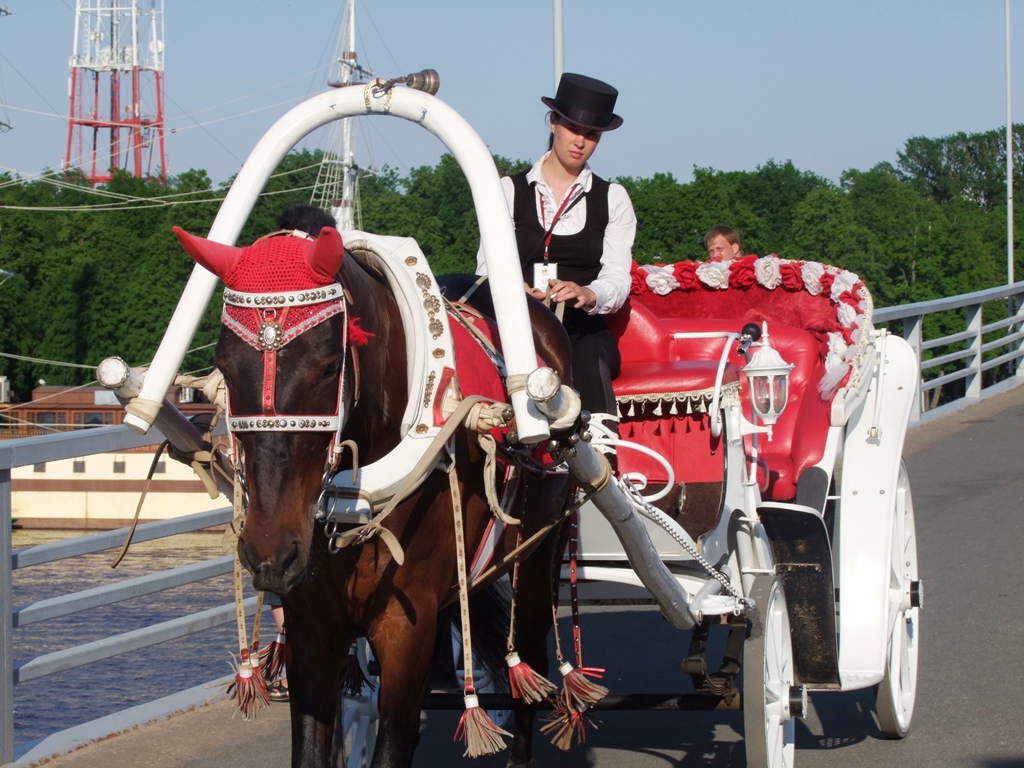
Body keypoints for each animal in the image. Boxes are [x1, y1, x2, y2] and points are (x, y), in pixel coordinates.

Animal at [175, 224, 577, 768]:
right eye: (225, 366)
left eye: (329, 367)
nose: (269, 551)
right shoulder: (310, 628)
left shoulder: (406, 629)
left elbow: (393, 742)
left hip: (539, 553)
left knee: (530, 662)